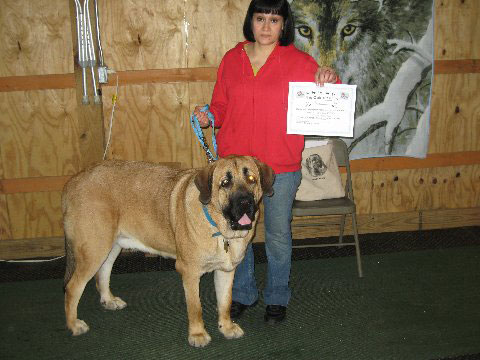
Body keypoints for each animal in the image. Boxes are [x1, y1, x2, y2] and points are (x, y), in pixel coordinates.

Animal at [62, 155, 274, 346]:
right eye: (225, 183)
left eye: (251, 179)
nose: (245, 202)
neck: (218, 227)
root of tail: (73, 181)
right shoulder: (189, 272)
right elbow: (195, 307)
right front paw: (197, 334)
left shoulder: (226, 271)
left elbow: (225, 302)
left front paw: (227, 328)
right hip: (94, 249)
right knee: (72, 287)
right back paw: (74, 325)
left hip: (111, 246)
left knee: (102, 273)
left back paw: (109, 300)